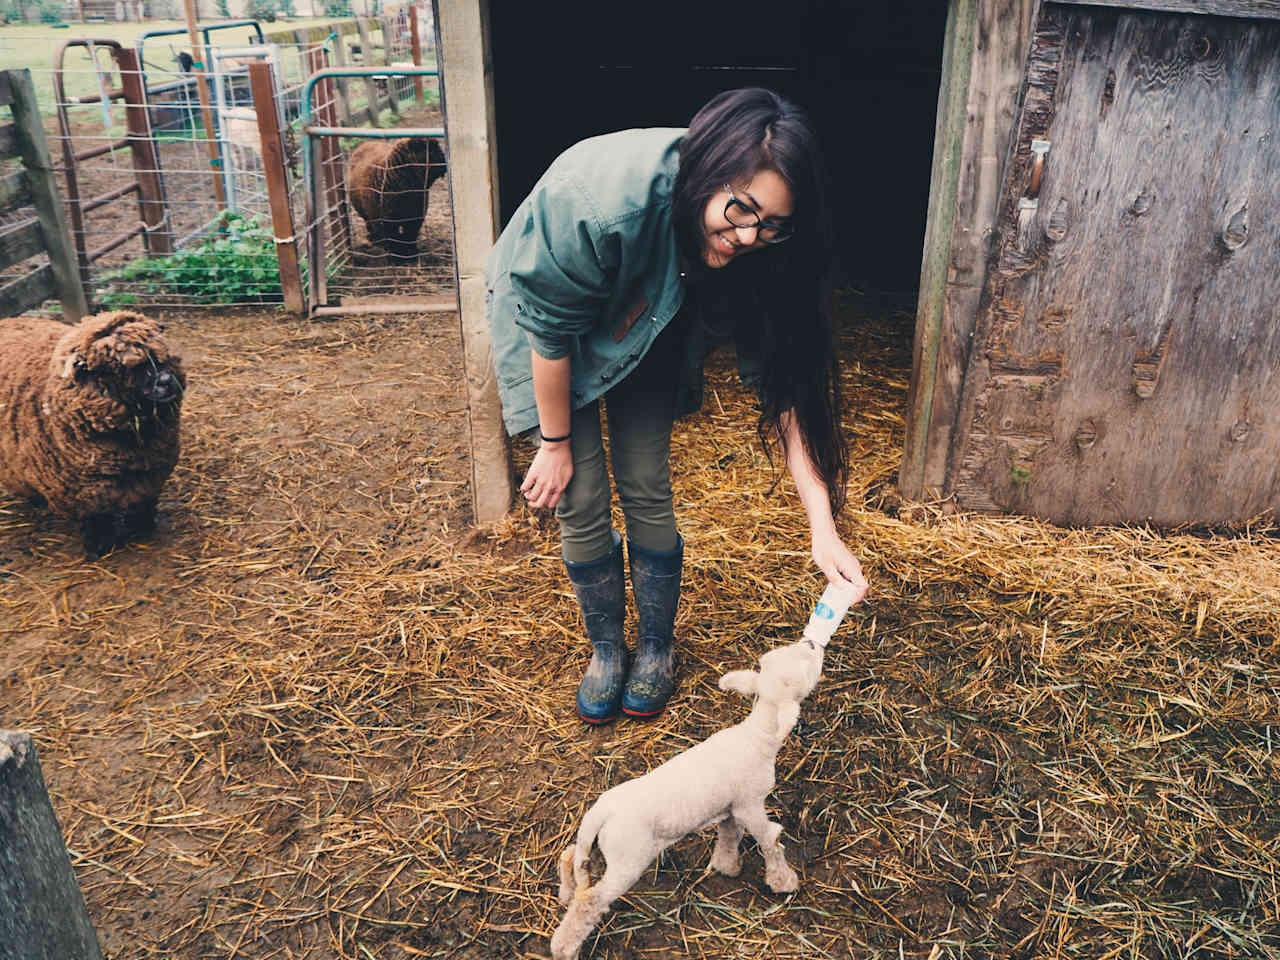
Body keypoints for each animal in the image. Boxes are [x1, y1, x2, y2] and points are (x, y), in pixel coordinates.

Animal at [0, 312, 186, 555]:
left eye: (160, 355)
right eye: (122, 368)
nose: (166, 381)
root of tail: (6, 320)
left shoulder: (151, 475)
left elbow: (142, 505)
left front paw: (143, 528)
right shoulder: (84, 493)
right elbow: (96, 520)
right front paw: (100, 547)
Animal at [550, 578, 860, 960]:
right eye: (807, 666)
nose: (813, 643)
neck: (756, 735)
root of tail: (601, 812)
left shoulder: (729, 806)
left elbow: (729, 834)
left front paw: (728, 866)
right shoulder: (750, 802)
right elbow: (769, 839)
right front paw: (783, 881)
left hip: (595, 845)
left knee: (571, 857)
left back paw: (565, 892)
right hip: (628, 858)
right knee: (590, 899)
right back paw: (564, 946)